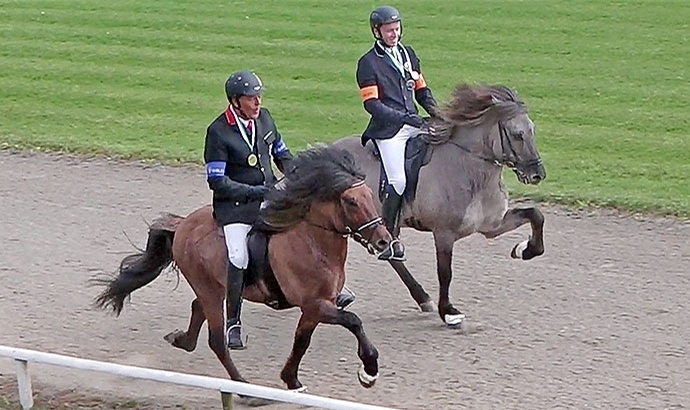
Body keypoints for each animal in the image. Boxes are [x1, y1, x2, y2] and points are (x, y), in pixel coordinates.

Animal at [93, 145, 390, 390]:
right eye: (351, 201)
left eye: (369, 195)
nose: (384, 241)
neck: (312, 242)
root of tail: (183, 224)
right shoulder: (315, 304)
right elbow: (353, 321)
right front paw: (369, 371)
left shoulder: (315, 307)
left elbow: (301, 342)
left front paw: (291, 380)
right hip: (208, 287)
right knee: (217, 340)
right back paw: (245, 389)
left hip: (214, 287)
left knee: (198, 308)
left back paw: (181, 340)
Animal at [330, 83, 544, 326]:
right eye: (518, 135)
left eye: (532, 130)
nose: (537, 174)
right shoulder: (444, 233)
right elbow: (445, 272)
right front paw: (449, 311)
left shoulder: (492, 226)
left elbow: (536, 215)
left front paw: (524, 249)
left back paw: (420, 298)